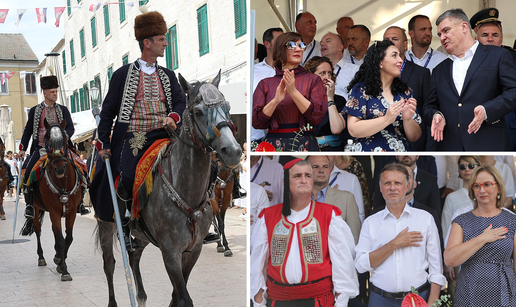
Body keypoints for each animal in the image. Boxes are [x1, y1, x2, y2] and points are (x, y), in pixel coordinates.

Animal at [20, 119, 82, 282]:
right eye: (48, 140)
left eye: (65, 139)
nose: (59, 168)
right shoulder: (54, 211)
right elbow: (60, 239)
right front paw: (64, 269)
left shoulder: (72, 212)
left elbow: (68, 238)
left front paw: (60, 262)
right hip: (36, 210)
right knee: (38, 231)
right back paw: (41, 258)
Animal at [97, 71, 242, 306]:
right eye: (198, 112)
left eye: (227, 106)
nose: (233, 151)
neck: (186, 192)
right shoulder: (170, 252)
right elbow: (184, 298)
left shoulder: (192, 250)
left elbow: (177, 296)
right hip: (106, 225)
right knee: (109, 264)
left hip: (142, 237)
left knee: (134, 257)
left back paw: (141, 297)